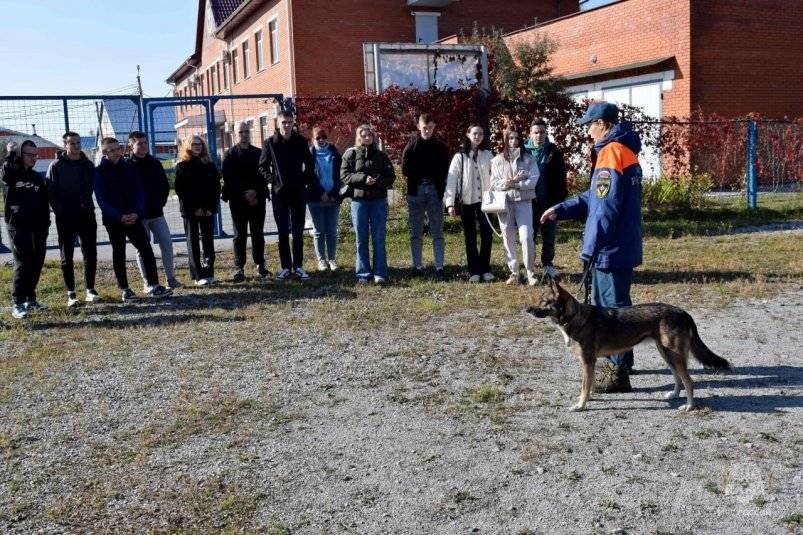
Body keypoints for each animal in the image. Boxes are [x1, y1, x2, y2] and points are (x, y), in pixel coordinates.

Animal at [528, 278, 728, 412]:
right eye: (538, 300)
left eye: (544, 302)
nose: (527, 309)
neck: (575, 318)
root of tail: (684, 313)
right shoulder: (588, 364)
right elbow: (588, 385)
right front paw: (588, 399)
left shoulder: (587, 361)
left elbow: (585, 386)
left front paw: (580, 405)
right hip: (667, 354)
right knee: (678, 378)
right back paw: (674, 395)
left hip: (675, 356)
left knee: (689, 381)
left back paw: (689, 406)